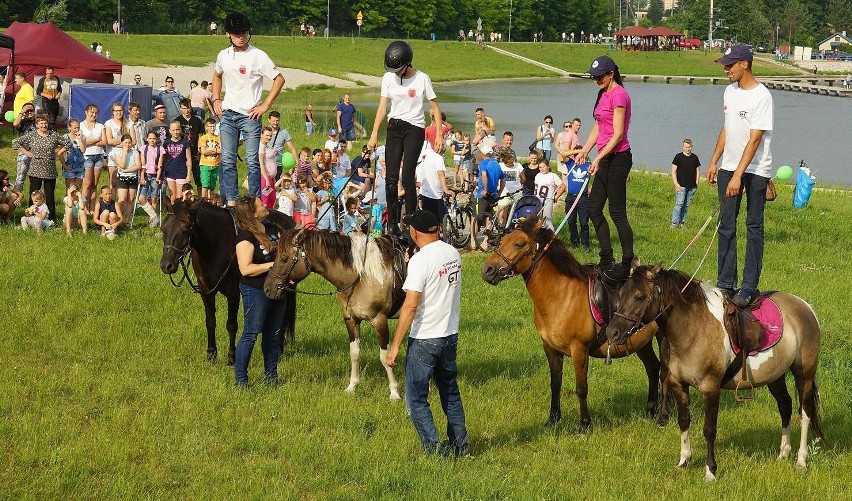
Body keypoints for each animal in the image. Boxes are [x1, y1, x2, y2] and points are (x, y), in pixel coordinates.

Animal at [161, 198, 298, 364]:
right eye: (163, 228)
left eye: (186, 229)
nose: (167, 265)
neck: (215, 246)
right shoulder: (206, 292)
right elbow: (210, 321)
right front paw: (211, 355)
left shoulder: (233, 293)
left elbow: (231, 325)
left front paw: (232, 357)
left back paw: (279, 348)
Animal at [262, 229, 402, 398]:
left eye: (284, 258)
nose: (267, 288)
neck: (362, 277)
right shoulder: (351, 319)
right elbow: (354, 353)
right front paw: (352, 387)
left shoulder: (379, 320)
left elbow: (385, 357)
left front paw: (394, 392)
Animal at [480, 218, 660, 430]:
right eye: (502, 240)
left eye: (519, 244)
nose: (487, 270)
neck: (560, 297)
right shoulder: (550, 348)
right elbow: (555, 384)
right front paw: (553, 419)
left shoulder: (579, 350)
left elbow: (581, 388)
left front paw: (584, 424)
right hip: (643, 343)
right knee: (653, 368)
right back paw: (651, 410)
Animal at [604, 266, 824, 480]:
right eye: (621, 293)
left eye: (639, 297)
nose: (612, 332)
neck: (692, 329)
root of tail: (805, 306)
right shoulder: (678, 385)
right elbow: (684, 421)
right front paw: (684, 461)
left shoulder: (710, 388)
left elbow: (709, 430)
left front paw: (710, 471)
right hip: (775, 376)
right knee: (785, 406)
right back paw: (783, 454)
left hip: (804, 374)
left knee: (805, 413)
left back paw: (801, 461)